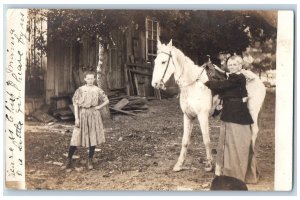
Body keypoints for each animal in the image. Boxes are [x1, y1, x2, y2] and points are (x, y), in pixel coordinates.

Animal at [151, 39, 266, 173]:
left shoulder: (203, 116)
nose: (155, 84)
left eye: (163, 62)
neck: (193, 85)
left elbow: (206, 140)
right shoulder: (187, 116)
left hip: (253, 111)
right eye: (155, 61)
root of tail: (258, 80)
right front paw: (179, 164)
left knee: (254, 131)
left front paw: (210, 164)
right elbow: (185, 140)